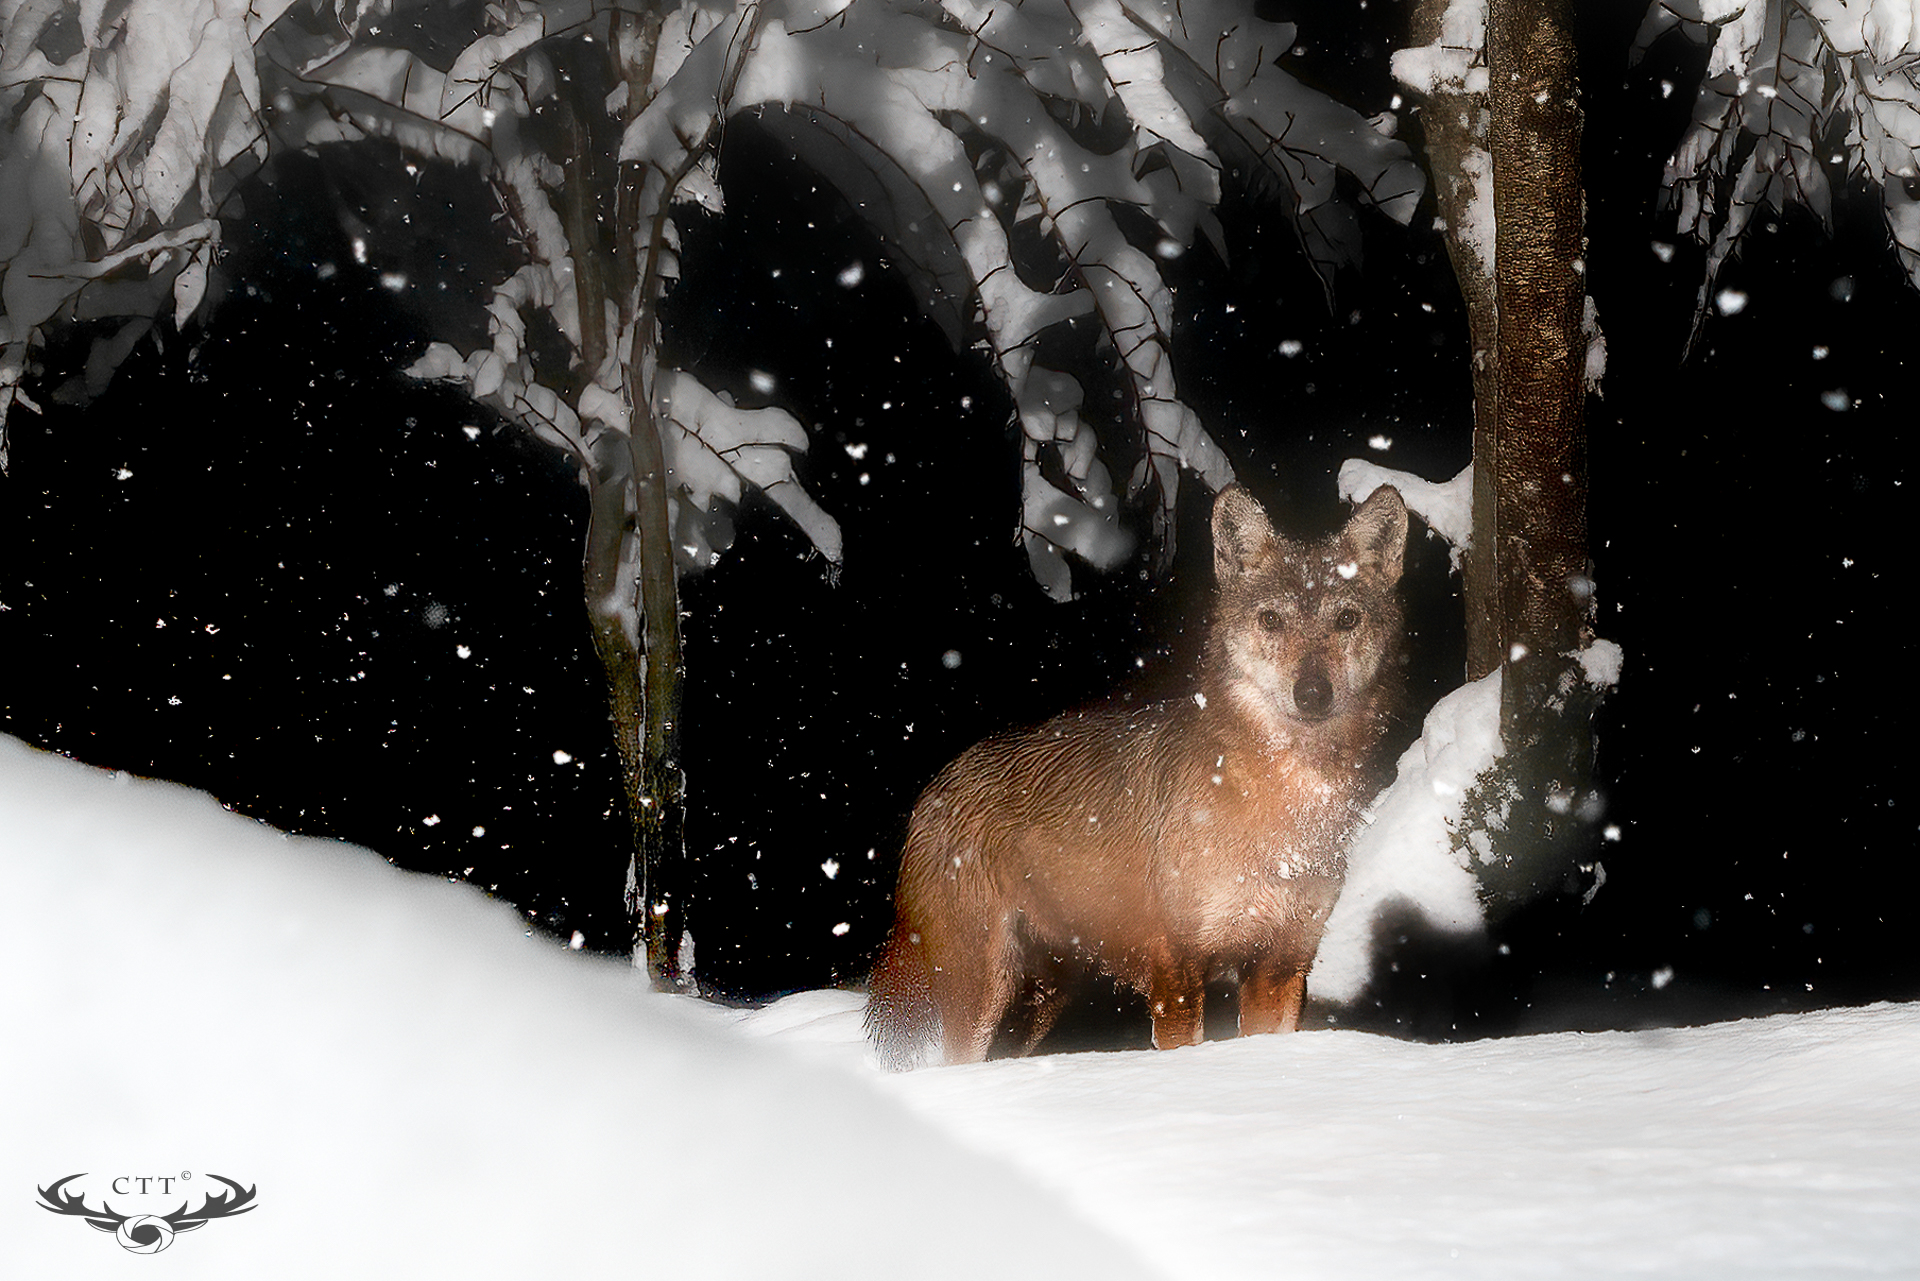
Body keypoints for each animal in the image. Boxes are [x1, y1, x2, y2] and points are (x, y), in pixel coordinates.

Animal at [864, 483, 1408, 1068]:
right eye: (1271, 621)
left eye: (1346, 620)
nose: (1312, 693)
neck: (1287, 805)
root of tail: (936, 783)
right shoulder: (1176, 967)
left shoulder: (1282, 965)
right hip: (983, 992)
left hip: (1041, 1000)